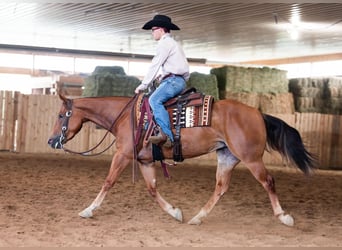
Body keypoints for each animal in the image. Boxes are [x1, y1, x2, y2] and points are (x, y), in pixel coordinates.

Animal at [46, 93, 316, 226]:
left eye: (60, 115)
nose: (51, 141)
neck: (125, 117)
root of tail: (258, 113)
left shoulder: (122, 155)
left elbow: (108, 182)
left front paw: (88, 210)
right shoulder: (145, 161)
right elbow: (152, 189)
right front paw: (175, 212)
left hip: (251, 158)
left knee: (268, 181)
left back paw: (284, 217)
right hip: (227, 157)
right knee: (221, 187)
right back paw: (197, 218)